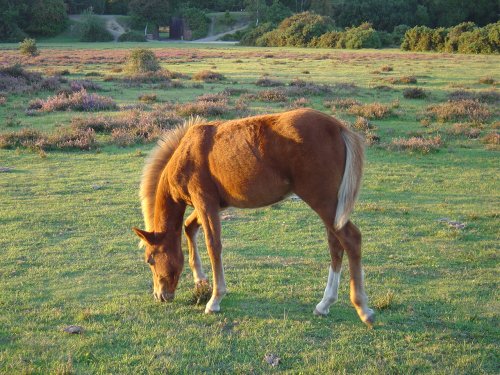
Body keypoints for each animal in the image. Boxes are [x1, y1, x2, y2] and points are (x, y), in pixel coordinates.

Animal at [133, 108, 376, 326]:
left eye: (150, 260)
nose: (160, 296)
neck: (187, 151)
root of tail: (337, 127)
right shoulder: (214, 205)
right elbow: (189, 227)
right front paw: (200, 280)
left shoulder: (205, 202)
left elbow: (213, 245)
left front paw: (214, 299)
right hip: (331, 208)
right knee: (335, 245)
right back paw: (324, 304)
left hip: (322, 201)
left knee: (351, 239)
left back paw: (362, 308)